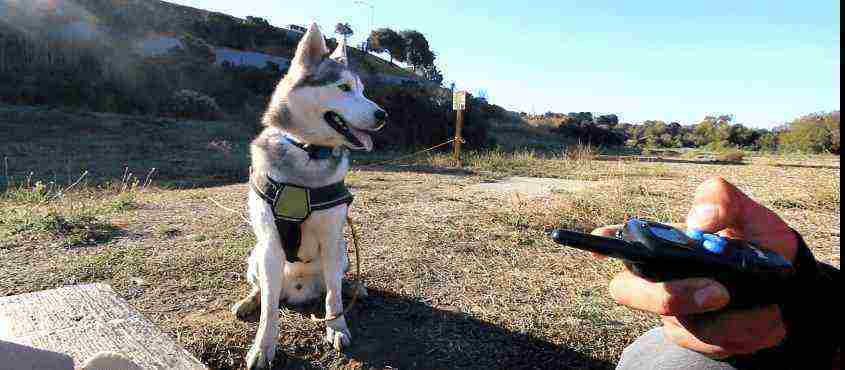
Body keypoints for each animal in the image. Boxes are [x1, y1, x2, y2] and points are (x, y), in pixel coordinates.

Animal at [232, 24, 388, 368]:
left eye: (362, 90)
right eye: (344, 87)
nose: (383, 114)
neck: (307, 152)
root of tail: (300, 289)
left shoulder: (332, 239)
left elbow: (333, 297)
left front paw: (337, 327)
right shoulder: (271, 245)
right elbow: (269, 311)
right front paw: (263, 347)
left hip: (343, 250)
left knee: (336, 284)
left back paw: (355, 287)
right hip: (256, 254)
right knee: (264, 290)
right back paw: (249, 300)